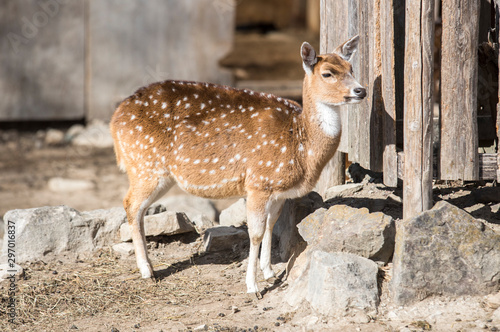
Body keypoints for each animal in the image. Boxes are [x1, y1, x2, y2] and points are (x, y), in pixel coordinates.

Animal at [110, 35, 368, 296]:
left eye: (351, 68)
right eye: (327, 73)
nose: (361, 90)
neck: (300, 144)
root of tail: (115, 119)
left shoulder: (278, 191)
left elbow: (270, 225)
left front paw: (269, 272)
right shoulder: (258, 182)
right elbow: (255, 233)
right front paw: (253, 286)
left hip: (156, 173)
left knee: (139, 208)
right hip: (145, 166)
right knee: (131, 204)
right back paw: (147, 271)